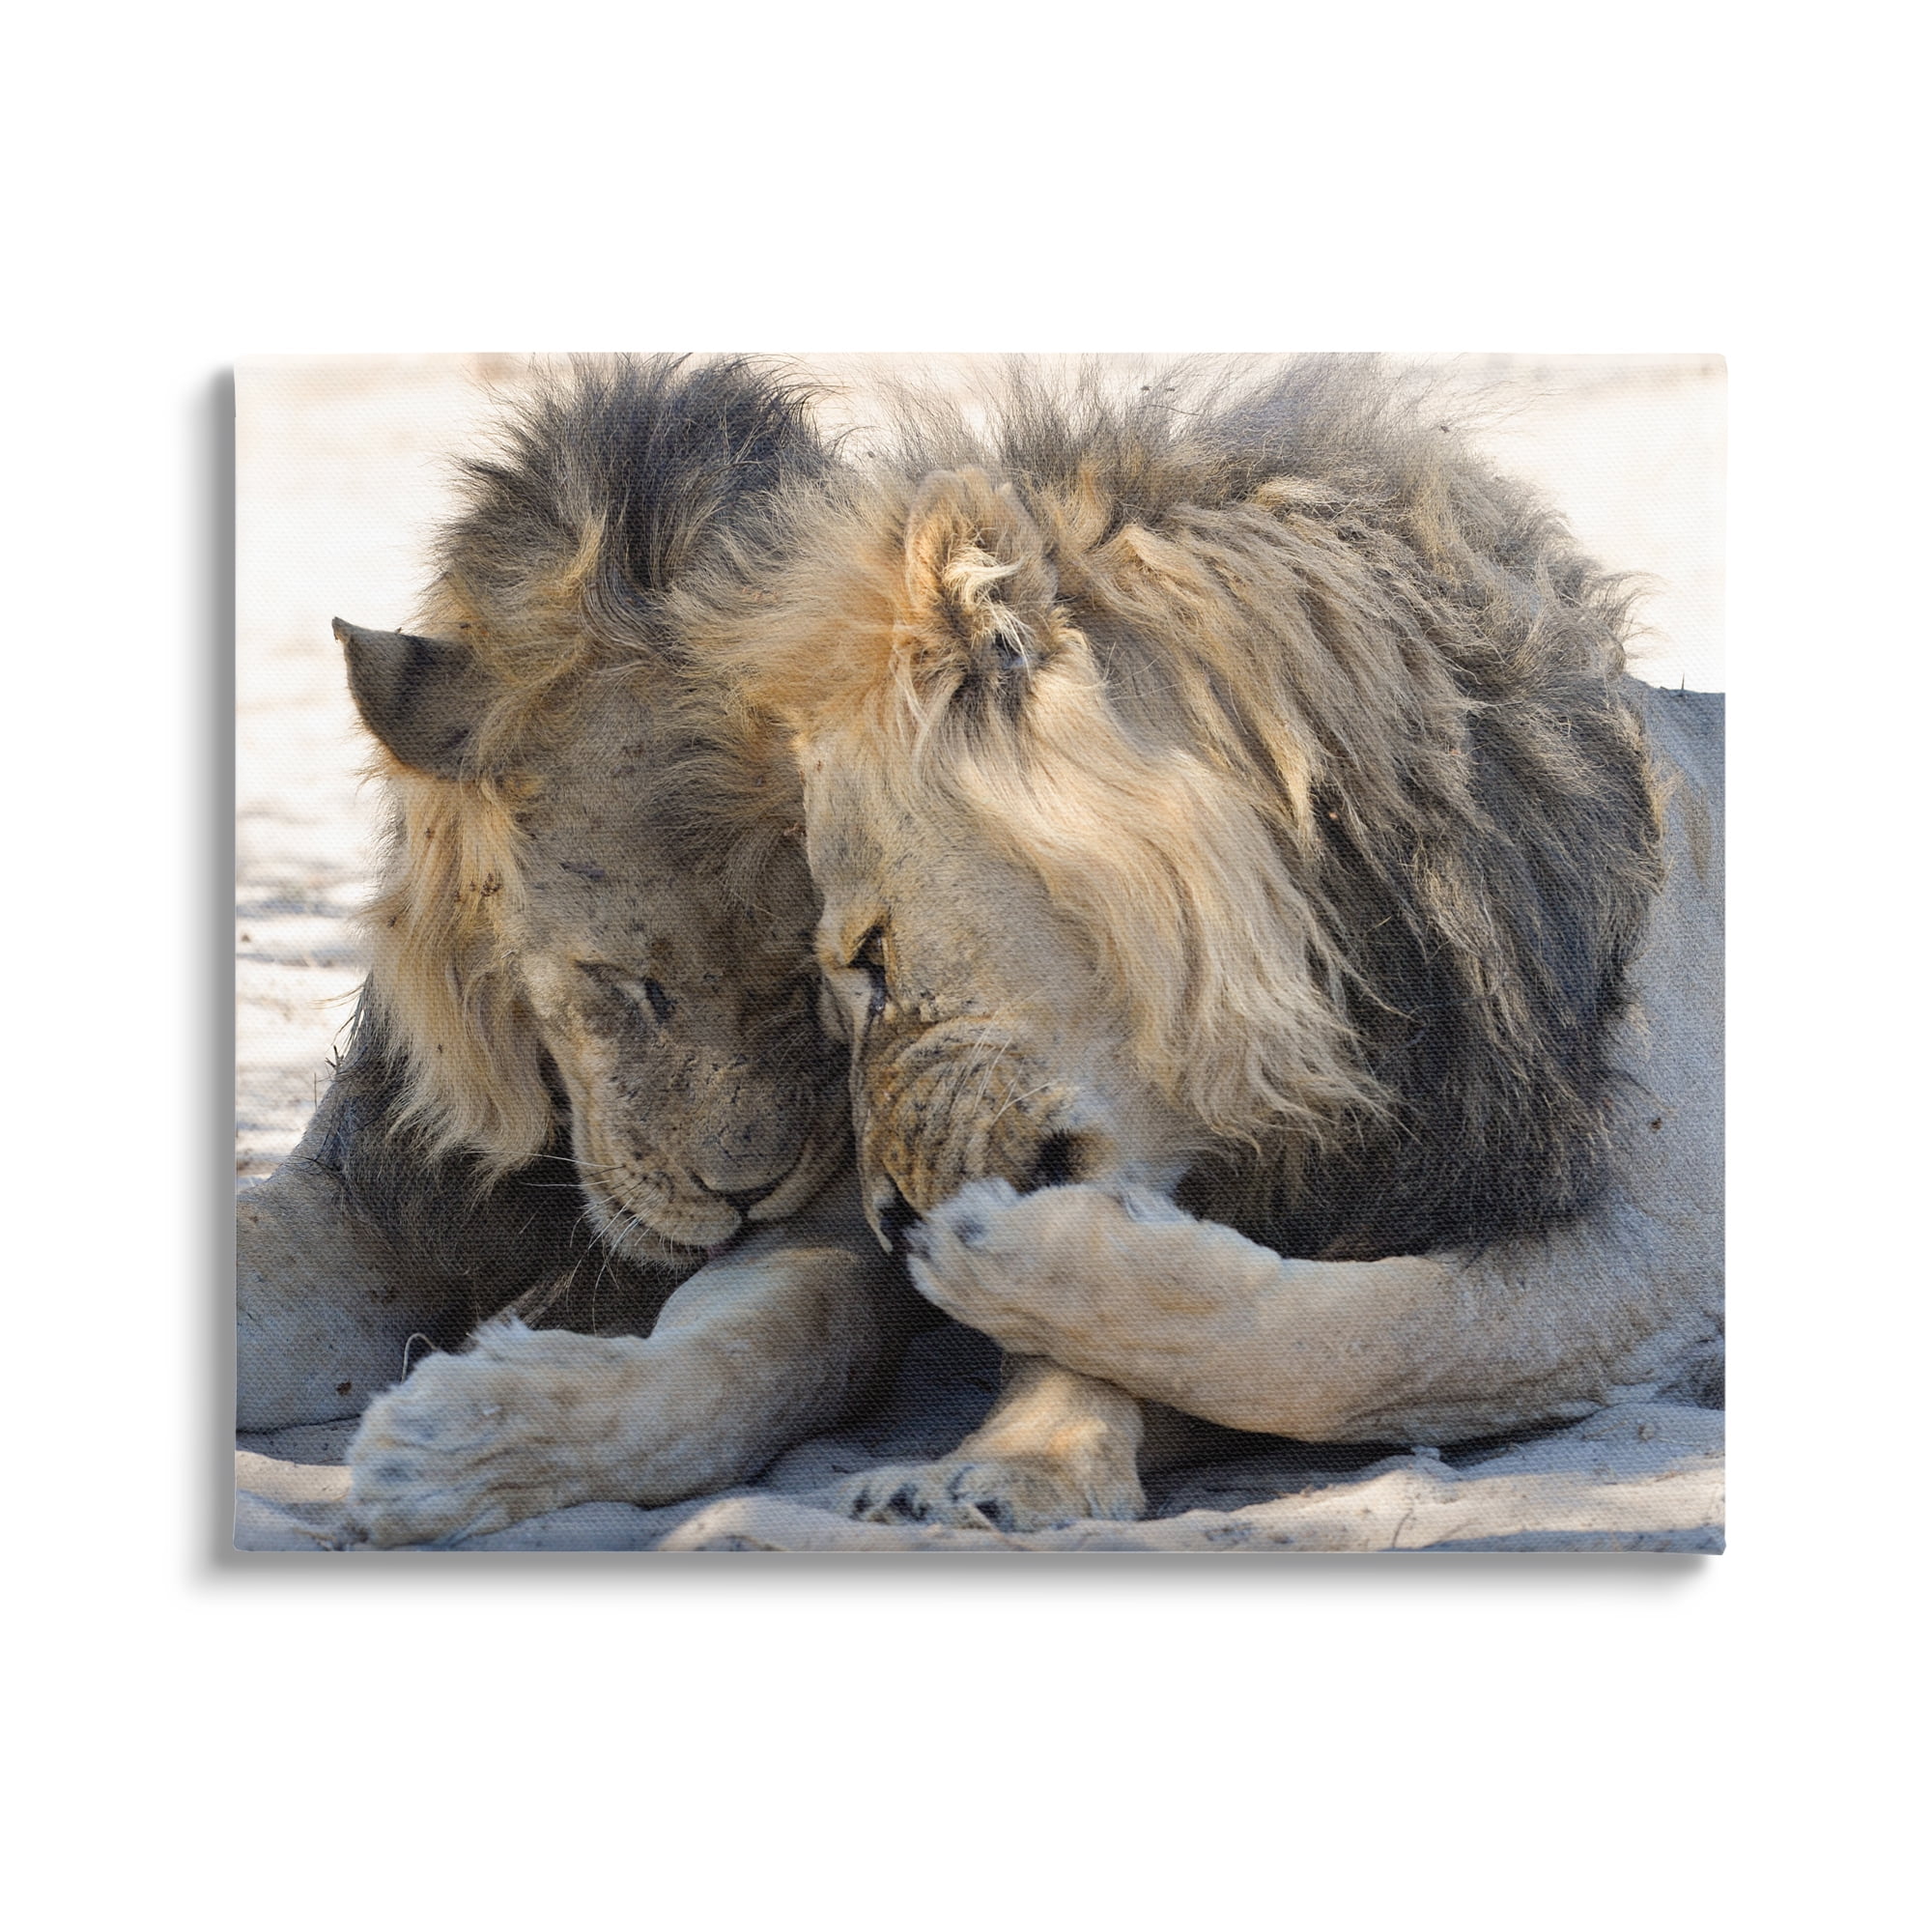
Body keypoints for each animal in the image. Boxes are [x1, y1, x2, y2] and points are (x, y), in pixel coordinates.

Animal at [236, 356, 919, 1544]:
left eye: (816, 978)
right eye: (623, 983)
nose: (746, 1192)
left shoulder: (836, 1226)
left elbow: (779, 1342)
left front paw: (464, 1443)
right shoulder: (366, 1197)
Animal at [688, 356, 1725, 1532]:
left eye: (870, 953)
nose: (886, 1220)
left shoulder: (1662, 1250)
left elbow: (1360, 1343)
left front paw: (1004, 1261)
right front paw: (1012, 1461)